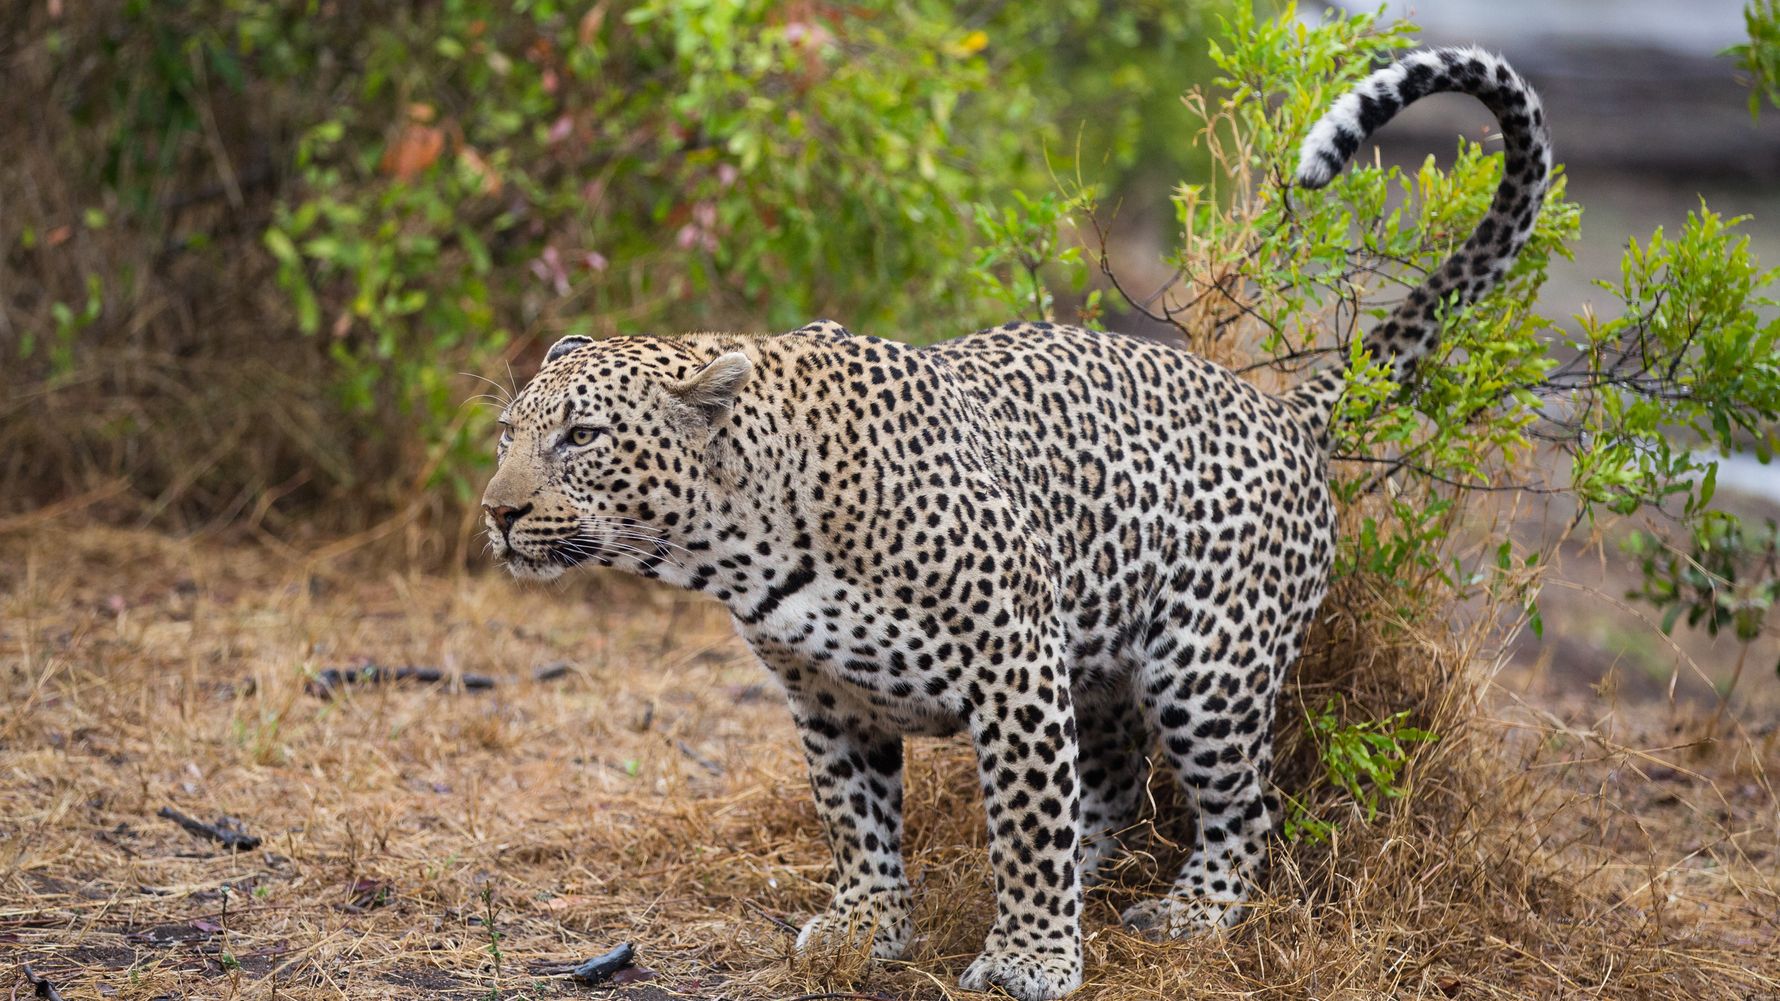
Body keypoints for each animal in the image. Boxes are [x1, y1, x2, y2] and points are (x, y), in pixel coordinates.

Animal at [479, 47, 1551, 1001]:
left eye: (581, 436)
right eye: (507, 433)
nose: (496, 511)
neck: (740, 546)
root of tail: (1283, 412)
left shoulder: (1013, 656)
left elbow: (1028, 822)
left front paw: (1030, 959)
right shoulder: (825, 697)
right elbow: (854, 818)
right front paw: (867, 927)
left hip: (1207, 670)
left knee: (1248, 800)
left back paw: (1193, 910)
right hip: (1108, 659)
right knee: (1115, 773)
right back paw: (1092, 872)